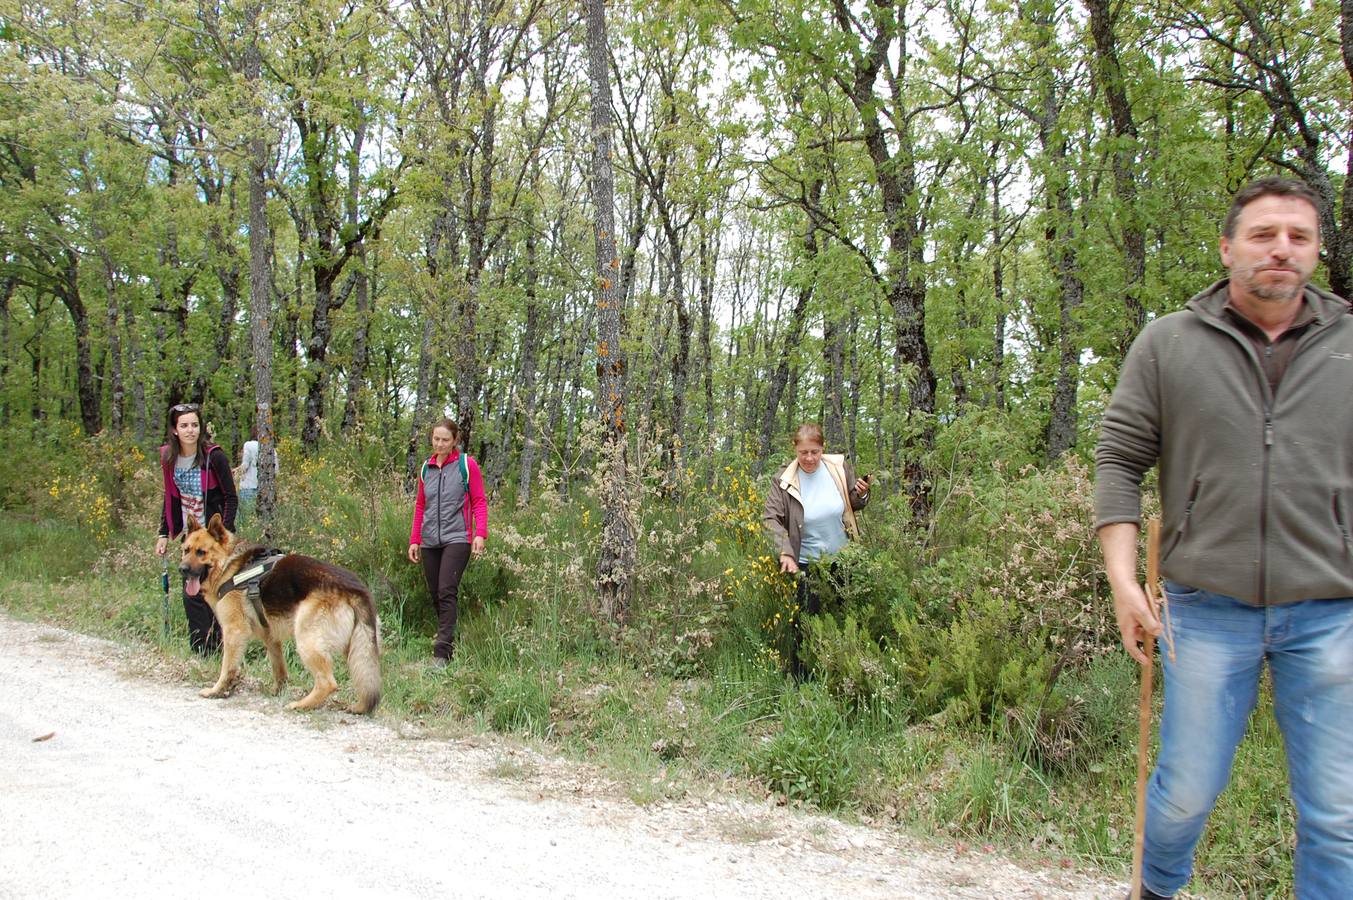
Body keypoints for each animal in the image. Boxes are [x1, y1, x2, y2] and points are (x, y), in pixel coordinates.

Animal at [179, 516, 381, 714]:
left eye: (201, 552)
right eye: (186, 550)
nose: (182, 569)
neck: (229, 565)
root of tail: (355, 588)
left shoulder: (234, 632)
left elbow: (227, 667)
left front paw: (217, 690)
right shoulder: (270, 637)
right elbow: (279, 668)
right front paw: (277, 691)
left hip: (307, 642)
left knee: (328, 683)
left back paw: (301, 705)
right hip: (356, 649)